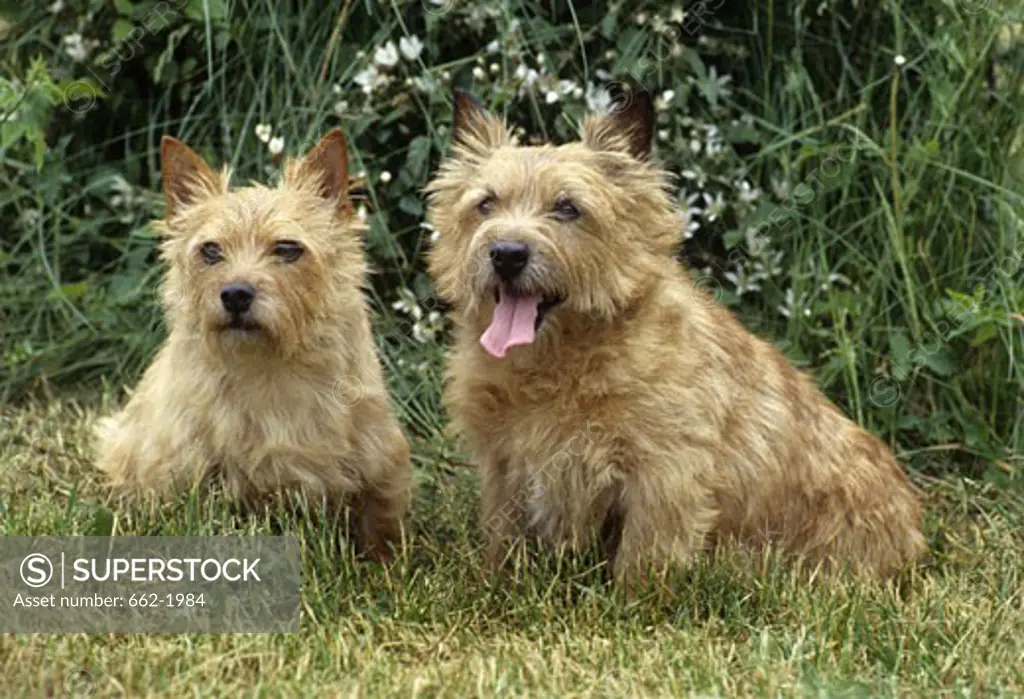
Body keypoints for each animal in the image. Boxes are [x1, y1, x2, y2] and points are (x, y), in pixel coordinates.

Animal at [95, 128, 411, 560]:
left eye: (287, 248)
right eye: (211, 250)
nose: (235, 294)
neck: (269, 367)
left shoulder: (379, 460)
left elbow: (380, 523)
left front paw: (384, 564)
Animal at [423, 89, 929, 585]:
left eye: (568, 207)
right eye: (486, 203)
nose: (507, 253)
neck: (557, 363)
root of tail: (914, 528)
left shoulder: (664, 477)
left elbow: (643, 563)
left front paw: (631, 603)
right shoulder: (504, 467)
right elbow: (502, 539)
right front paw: (496, 585)